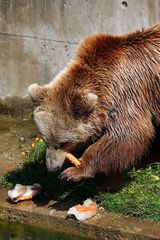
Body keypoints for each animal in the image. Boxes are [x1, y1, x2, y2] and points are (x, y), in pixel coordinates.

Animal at [28, 24, 160, 181]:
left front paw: (74, 171)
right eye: (45, 139)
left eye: (63, 143)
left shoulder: (127, 92)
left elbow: (127, 134)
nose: (52, 168)